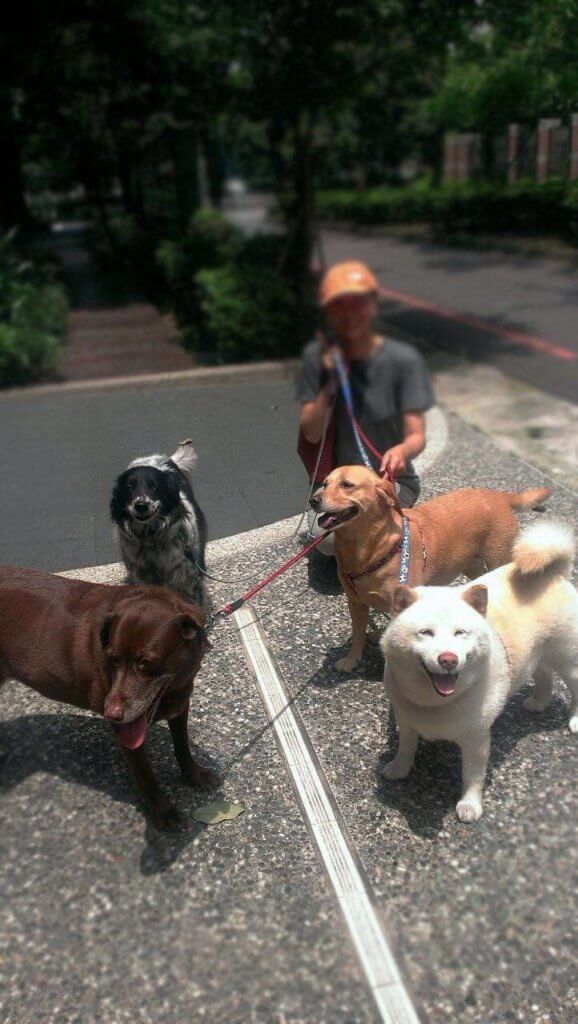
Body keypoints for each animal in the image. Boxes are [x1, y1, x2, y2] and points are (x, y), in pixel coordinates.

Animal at [0, 565, 217, 835]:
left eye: (145, 664)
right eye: (112, 659)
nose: (110, 713)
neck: (173, 689)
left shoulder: (180, 703)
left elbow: (182, 745)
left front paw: (194, 775)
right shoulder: (128, 729)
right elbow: (145, 773)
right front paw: (164, 812)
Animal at [109, 442, 209, 606]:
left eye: (154, 486)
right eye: (129, 486)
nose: (141, 505)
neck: (150, 538)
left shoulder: (184, 574)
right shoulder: (141, 575)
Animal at [309, 466, 549, 671]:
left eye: (347, 485)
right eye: (324, 483)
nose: (313, 500)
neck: (371, 550)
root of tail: (500, 496)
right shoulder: (356, 603)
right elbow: (358, 634)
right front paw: (351, 660)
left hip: (498, 558)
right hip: (470, 565)